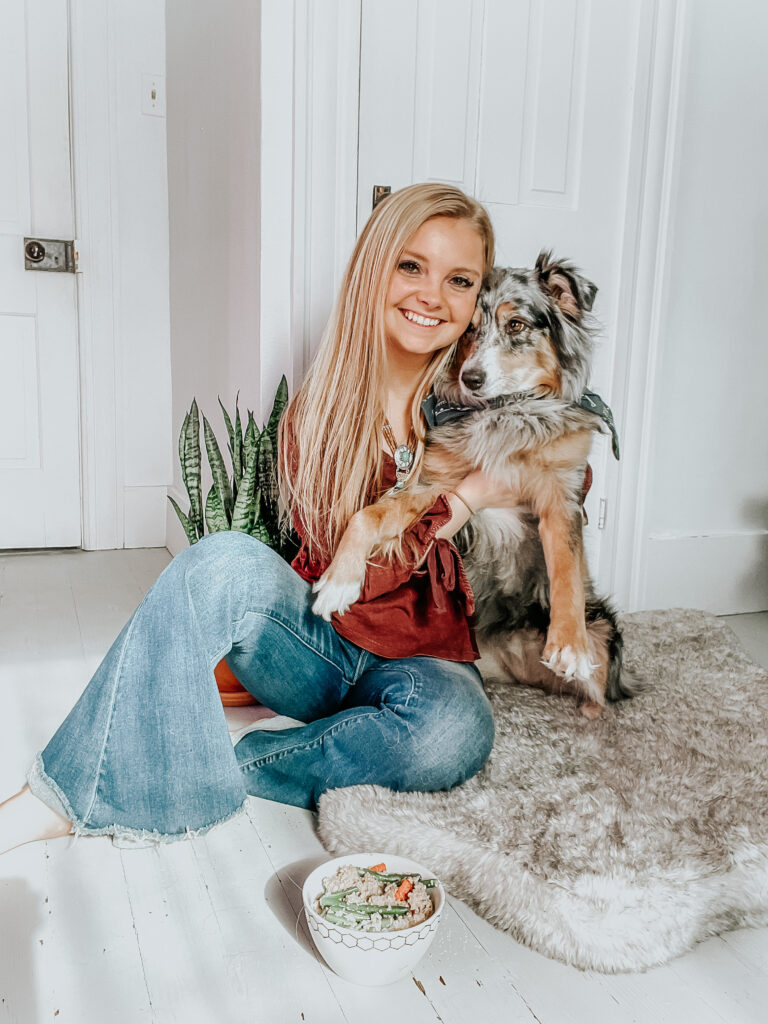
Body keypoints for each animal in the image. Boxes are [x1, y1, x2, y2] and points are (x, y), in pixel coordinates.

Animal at [313, 253, 643, 720]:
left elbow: (565, 569)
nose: (471, 378)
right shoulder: (435, 484)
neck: (505, 412)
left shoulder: (562, 495)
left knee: (601, 693)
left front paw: (569, 645)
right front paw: (339, 582)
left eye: (516, 325)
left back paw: (585, 699)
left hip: (605, 631)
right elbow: (369, 515)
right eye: (468, 330)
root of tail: (517, 662)